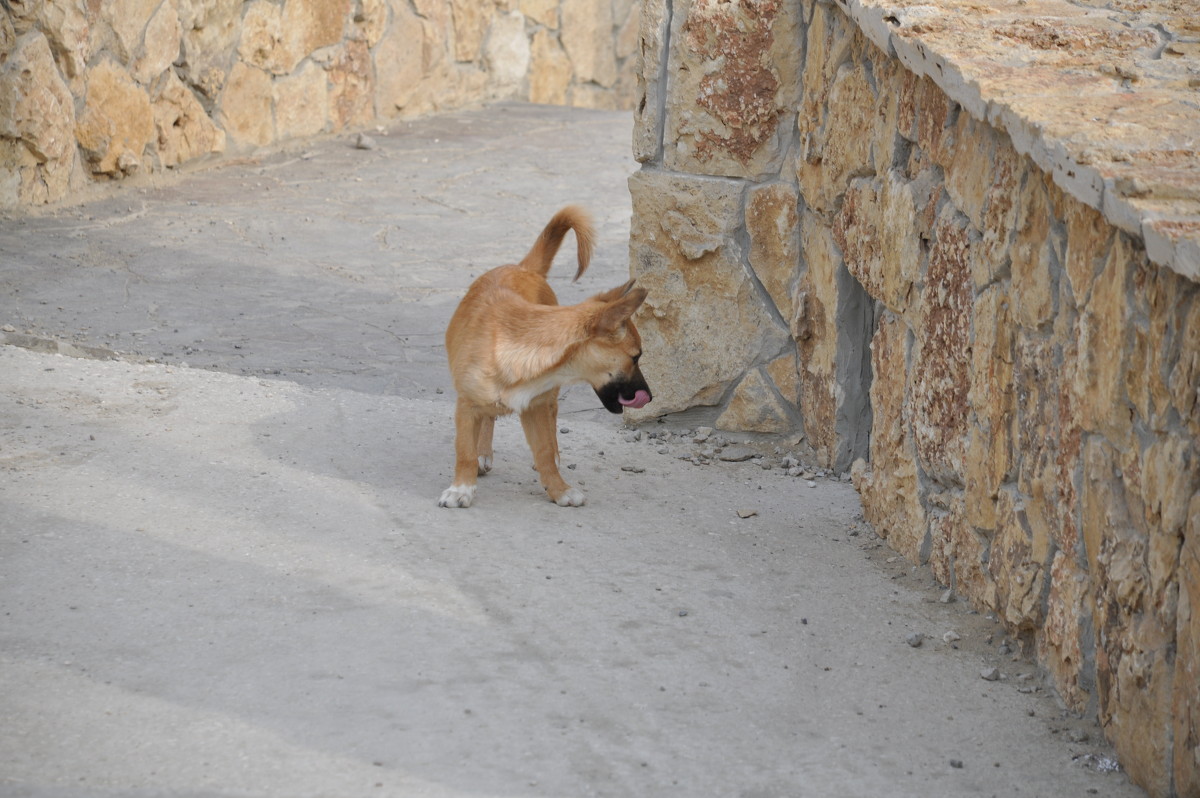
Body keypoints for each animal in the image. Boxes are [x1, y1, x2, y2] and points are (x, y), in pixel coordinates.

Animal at [436, 204, 652, 504]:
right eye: (635, 357)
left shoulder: (535, 406)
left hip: (549, 398)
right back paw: (483, 453)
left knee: (551, 421)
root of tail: (524, 268)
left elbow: (545, 451)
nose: (650, 397)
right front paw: (461, 489)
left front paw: (559, 489)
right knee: (487, 418)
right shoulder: (466, 405)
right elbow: (465, 452)